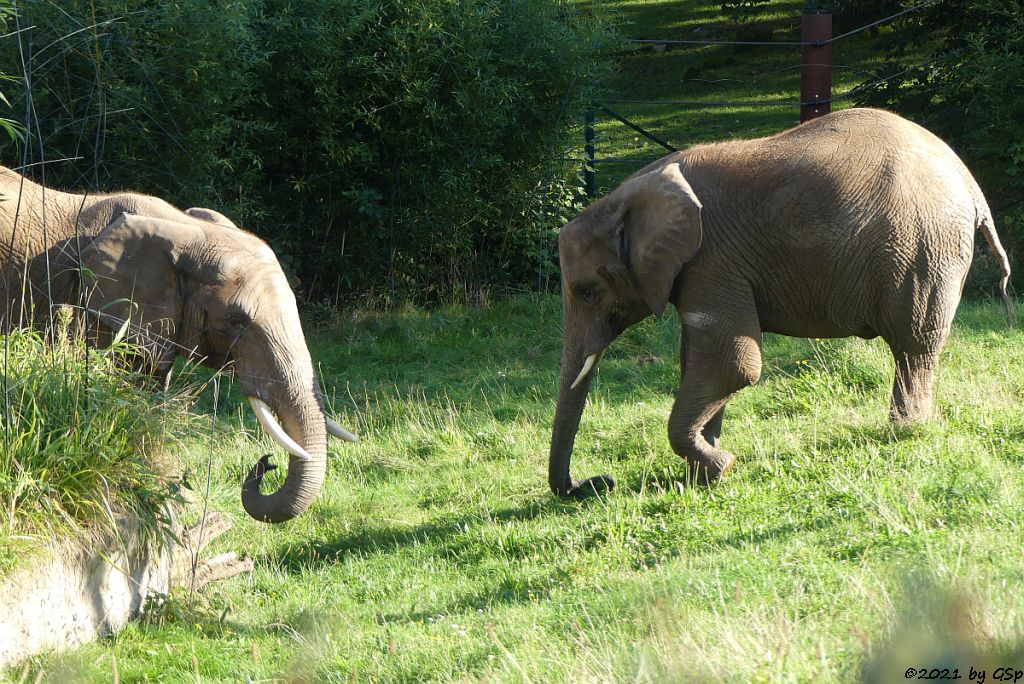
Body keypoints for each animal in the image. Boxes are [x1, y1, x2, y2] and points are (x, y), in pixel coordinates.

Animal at [548, 109, 1011, 499]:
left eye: (587, 290)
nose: (596, 483)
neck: (626, 197)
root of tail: (972, 186)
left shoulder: (711, 259)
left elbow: (733, 363)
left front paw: (720, 467)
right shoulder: (702, 269)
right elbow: (702, 361)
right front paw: (700, 477)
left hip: (925, 250)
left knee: (914, 346)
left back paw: (905, 431)